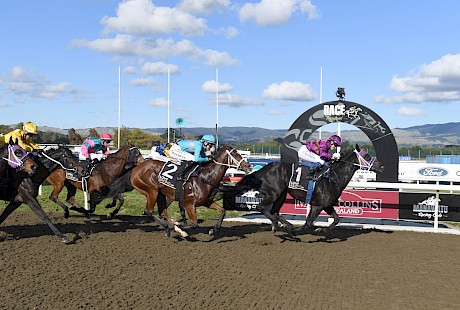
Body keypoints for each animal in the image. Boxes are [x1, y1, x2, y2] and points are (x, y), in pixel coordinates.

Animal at [94, 145, 252, 237]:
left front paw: (213, 229)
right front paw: (182, 227)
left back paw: (170, 227)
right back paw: (171, 227)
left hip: (161, 194)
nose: (249, 166)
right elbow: (194, 223)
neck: (205, 177)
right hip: (152, 190)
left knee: (162, 212)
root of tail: (135, 168)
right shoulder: (189, 204)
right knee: (149, 210)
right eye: (236, 154)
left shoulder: (207, 202)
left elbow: (222, 211)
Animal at [230, 144, 384, 234]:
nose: (381, 165)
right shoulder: (317, 205)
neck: (333, 178)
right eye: (366, 156)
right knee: (262, 208)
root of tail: (261, 170)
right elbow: (308, 224)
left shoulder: (327, 205)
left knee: (275, 212)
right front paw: (300, 230)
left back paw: (285, 225)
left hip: (281, 195)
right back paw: (281, 226)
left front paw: (323, 230)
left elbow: (336, 219)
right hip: (274, 193)